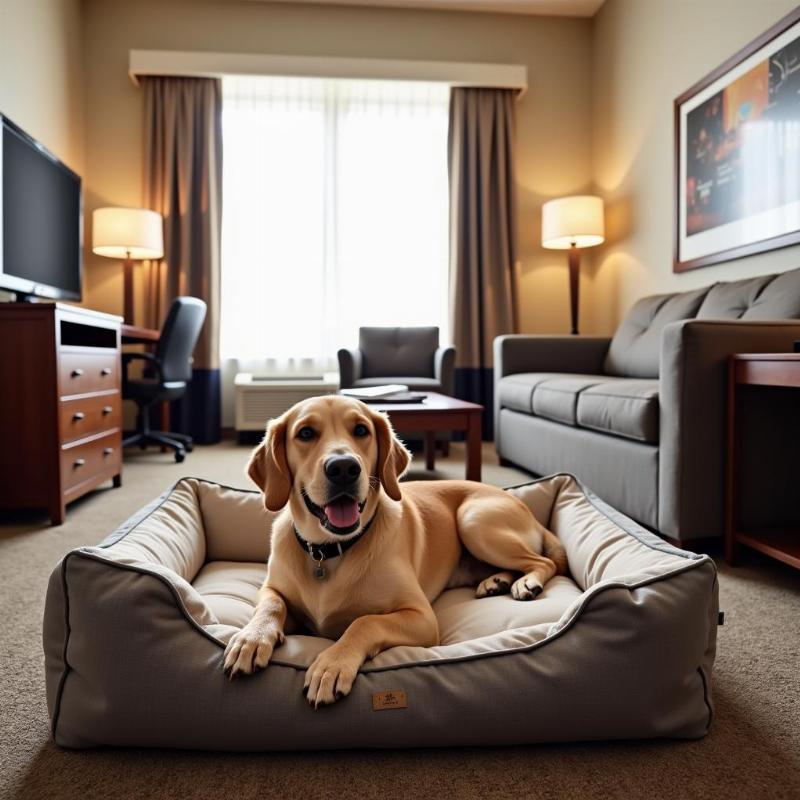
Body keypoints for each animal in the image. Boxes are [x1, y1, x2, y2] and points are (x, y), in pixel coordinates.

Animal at [222, 394, 564, 708]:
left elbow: (365, 622)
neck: (328, 553)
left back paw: (526, 582)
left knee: (543, 561)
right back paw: (497, 581)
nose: (343, 467)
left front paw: (332, 664)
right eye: (305, 433)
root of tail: (522, 505)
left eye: (361, 430)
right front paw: (251, 638)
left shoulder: (421, 616)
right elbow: (271, 605)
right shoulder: (271, 588)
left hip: (474, 520)